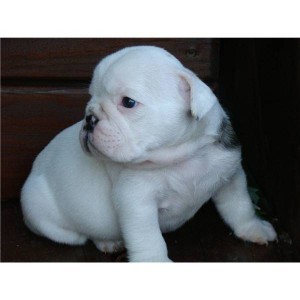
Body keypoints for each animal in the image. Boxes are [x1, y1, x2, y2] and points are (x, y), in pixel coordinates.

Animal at [20, 45, 276, 262]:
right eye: (91, 96)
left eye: (128, 102)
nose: (89, 118)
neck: (184, 156)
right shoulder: (137, 202)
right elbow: (148, 238)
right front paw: (154, 262)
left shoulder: (231, 175)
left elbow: (240, 206)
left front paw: (253, 228)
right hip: (43, 214)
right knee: (80, 233)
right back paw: (107, 241)